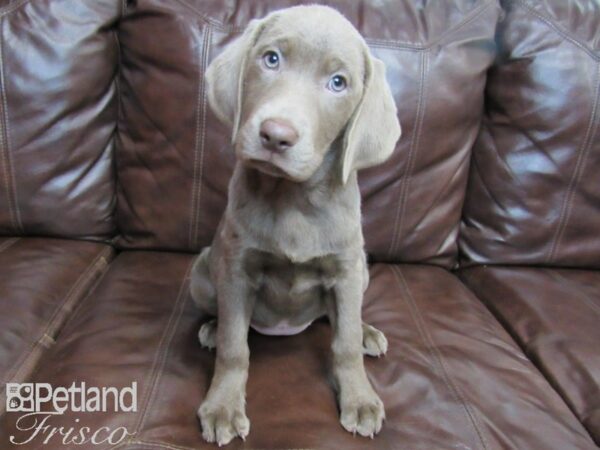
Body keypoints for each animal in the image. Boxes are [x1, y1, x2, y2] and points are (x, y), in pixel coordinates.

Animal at [190, 5, 400, 448]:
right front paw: (222, 407)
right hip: (202, 271)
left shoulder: (346, 269)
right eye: (271, 59)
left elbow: (344, 342)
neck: (293, 200)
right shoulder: (236, 268)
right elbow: (235, 347)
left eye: (338, 82)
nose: (276, 135)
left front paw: (360, 399)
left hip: (363, 271)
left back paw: (368, 332)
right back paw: (212, 327)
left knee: (339, 320)